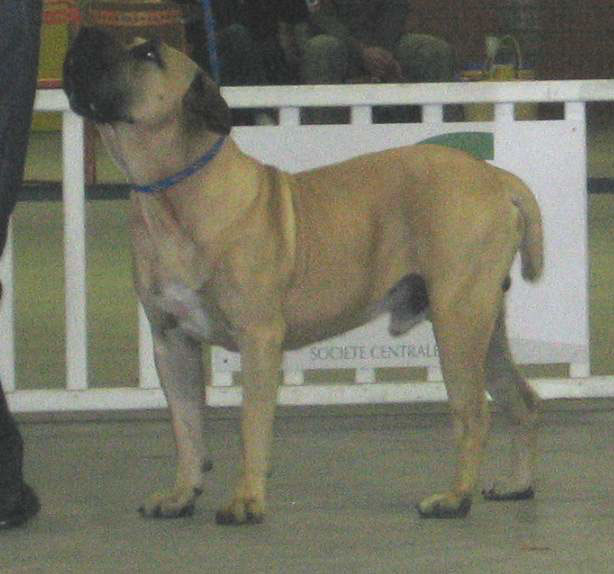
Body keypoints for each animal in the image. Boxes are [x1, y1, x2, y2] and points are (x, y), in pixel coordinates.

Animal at [63, 28, 543, 524]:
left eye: (148, 53)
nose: (86, 33)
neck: (175, 194)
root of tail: (498, 179)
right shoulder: (171, 340)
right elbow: (186, 425)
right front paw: (181, 493)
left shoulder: (258, 337)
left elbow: (251, 422)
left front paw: (246, 500)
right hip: (483, 328)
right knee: (520, 399)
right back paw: (517, 484)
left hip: (458, 320)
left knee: (473, 412)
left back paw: (453, 498)